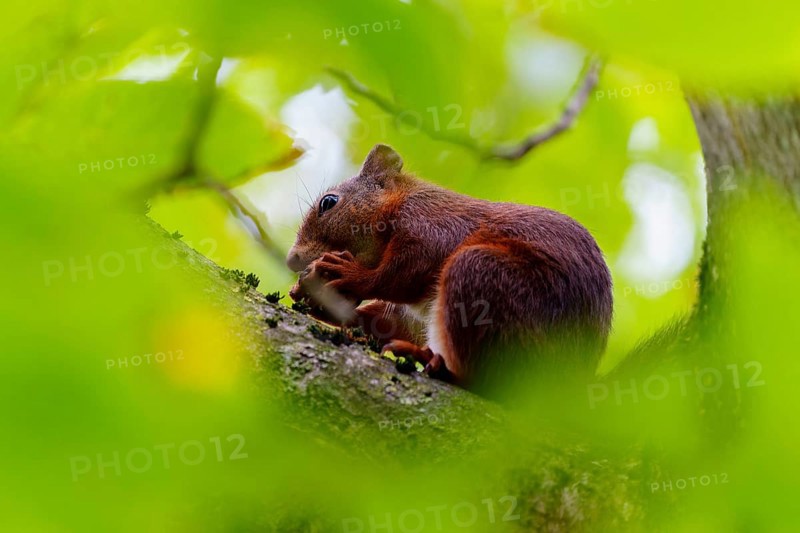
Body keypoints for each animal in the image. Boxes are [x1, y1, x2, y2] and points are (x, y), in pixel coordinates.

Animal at [287, 144, 613, 397]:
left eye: (329, 202)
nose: (292, 260)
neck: (400, 202)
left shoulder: (429, 224)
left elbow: (402, 275)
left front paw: (350, 274)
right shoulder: (411, 313)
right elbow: (391, 319)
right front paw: (320, 304)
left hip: (483, 275)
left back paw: (434, 363)